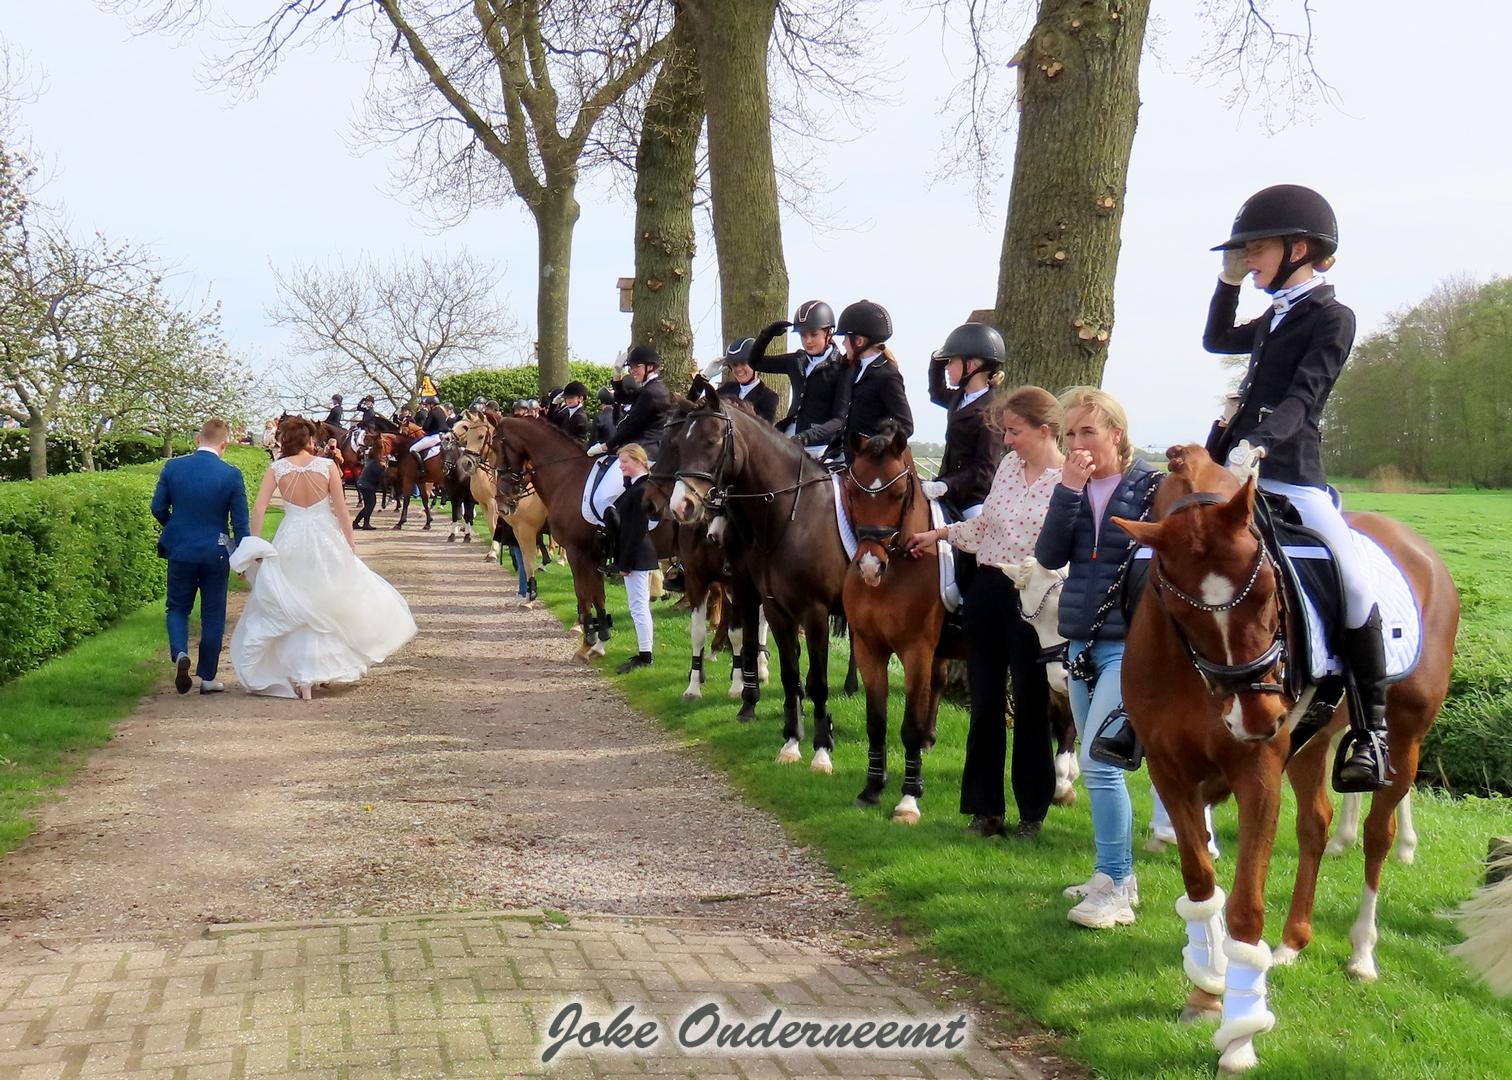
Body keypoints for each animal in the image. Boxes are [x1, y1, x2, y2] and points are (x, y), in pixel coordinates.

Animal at [1118, 441, 1457, 1070]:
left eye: (1268, 590)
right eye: (1181, 609)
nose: (1259, 718)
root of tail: (1419, 547)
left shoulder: (1256, 773)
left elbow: (1245, 906)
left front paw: (1240, 1038)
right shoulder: (1170, 770)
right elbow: (1199, 882)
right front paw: (1207, 992)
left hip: (1403, 737)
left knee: (1376, 833)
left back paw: (1361, 954)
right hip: (1313, 740)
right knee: (1315, 825)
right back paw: (1293, 943)